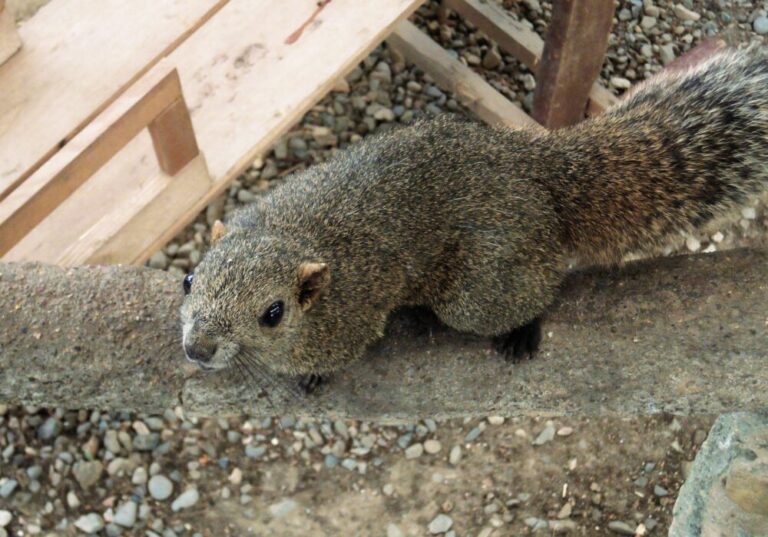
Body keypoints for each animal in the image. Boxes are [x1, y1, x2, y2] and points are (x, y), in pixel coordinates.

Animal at [182, 46, 768, 388]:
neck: (289, 234)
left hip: (481, 287)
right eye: (189, 279)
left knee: (533, 291)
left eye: (273, 313)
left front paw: (310, 378)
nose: (197, 349)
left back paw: (521, 333)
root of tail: (534, 167)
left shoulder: (347, 321)